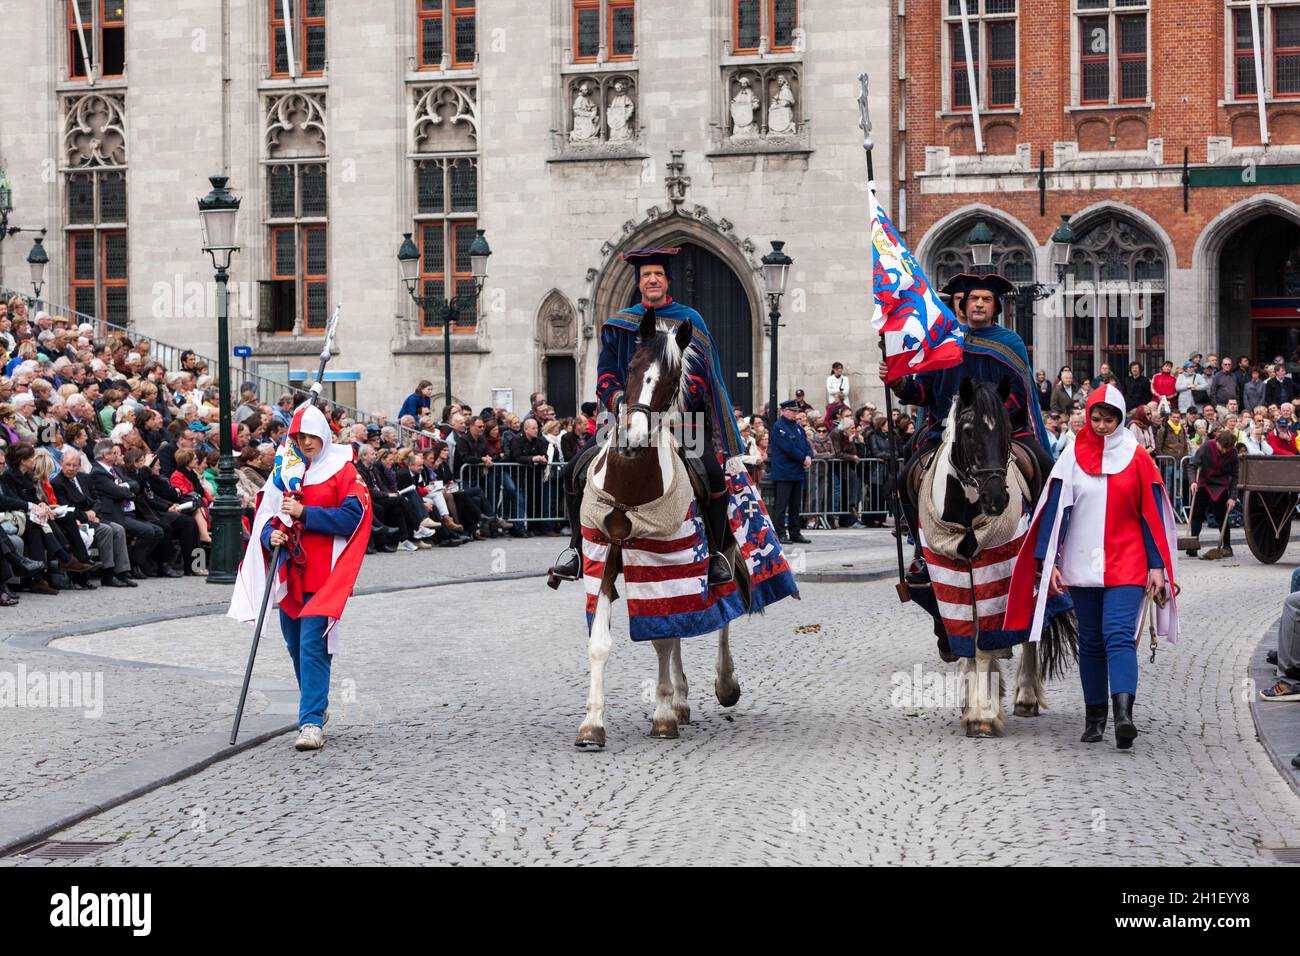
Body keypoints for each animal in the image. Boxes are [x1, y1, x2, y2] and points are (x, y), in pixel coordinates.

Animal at [577, 310, 748, 749]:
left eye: (673, 380)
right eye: (632, 368)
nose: (632, 438)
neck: (632, 489)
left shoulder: (665, 559)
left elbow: (663, 637)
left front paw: (664, 714)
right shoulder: (605, 558)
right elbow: (600, 643)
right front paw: (592, 725)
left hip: (716, 553)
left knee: (720, 619)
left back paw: (720, 686)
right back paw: (682, 701)